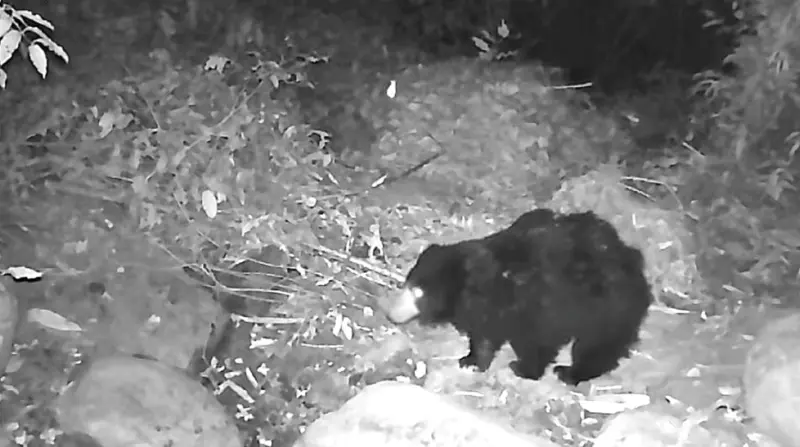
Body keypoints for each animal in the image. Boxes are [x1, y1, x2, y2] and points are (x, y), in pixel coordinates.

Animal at [384, 209, 653, 386]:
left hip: (606, 306)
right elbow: (485, 335)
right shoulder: (491, 309)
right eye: (407, 284)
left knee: (597, 344)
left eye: (418, 292)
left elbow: (537, 340)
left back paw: (570, 373)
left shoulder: (539, 304)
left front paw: (523, 369)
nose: (391, 314)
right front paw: (471, 360)